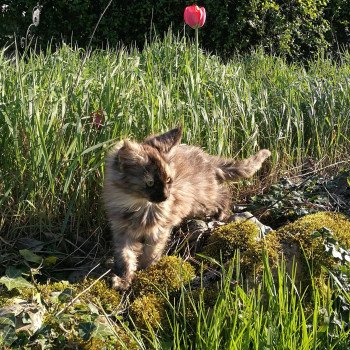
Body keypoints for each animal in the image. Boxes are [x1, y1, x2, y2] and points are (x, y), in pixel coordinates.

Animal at [102, 126, 272, 290]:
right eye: (150, 183)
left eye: (168, 180)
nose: (165, 196)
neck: (138, 206)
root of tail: (207, 159)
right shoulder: (122, 231)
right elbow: (126, 257)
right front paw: (124, 280)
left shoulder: (159, 229)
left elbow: (151, 253)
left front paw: (147, 271)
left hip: (202, 201)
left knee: (224, 193)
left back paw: (222, 214)